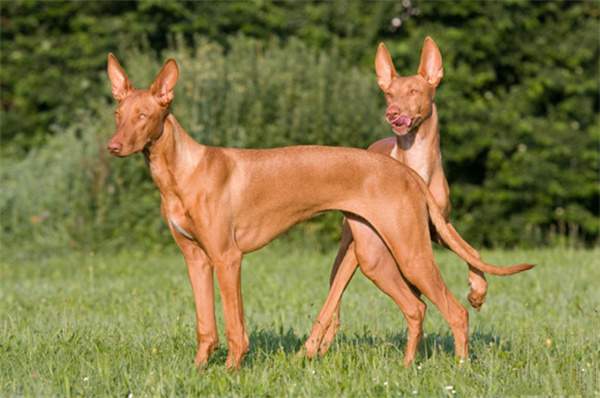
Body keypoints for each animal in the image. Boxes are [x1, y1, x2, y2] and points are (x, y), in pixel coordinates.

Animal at [105, 54, 532, 368]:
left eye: (144, 116)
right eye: (118, 115)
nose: (113, 146)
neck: (182, 172)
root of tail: (407, 172)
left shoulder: (228, 258)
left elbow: (234, 326)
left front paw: (230, 371)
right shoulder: (195, 258)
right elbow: (205, 325)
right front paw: (198, 370)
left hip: (411, 253)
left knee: (456, 311)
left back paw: (459, 367)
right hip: (375, 256)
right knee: (416, 308)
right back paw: (407, 367)